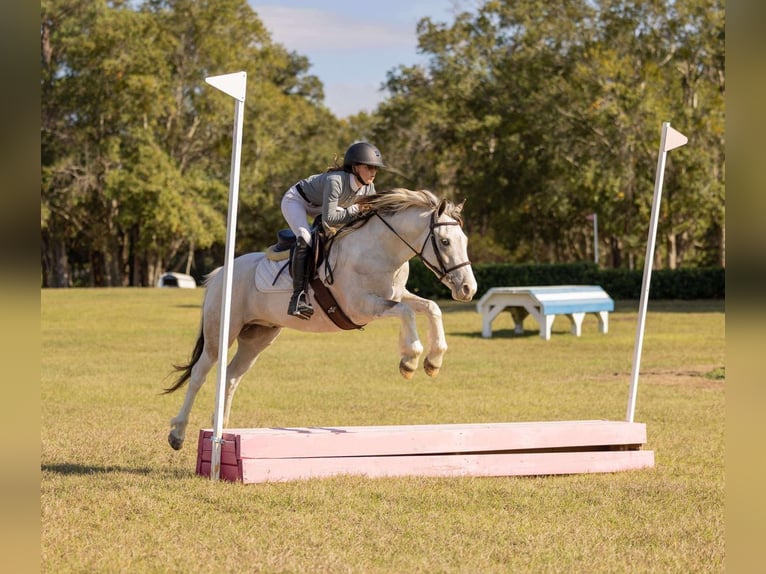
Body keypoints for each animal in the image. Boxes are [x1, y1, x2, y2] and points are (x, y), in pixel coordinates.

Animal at [164, 188, 477, 450]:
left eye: (464, 241)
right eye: (445, 241)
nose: (468, 289)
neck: (381, 250)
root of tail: (221, 273)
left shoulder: (397, 295)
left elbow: (431, 307)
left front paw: (433, 361)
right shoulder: (361, 306)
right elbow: (406, 312)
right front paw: (409, 360)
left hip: (258, 337)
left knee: (231, 376)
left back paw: (222, 429)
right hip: (222, 332)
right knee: (200, 374)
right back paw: (178, 433)